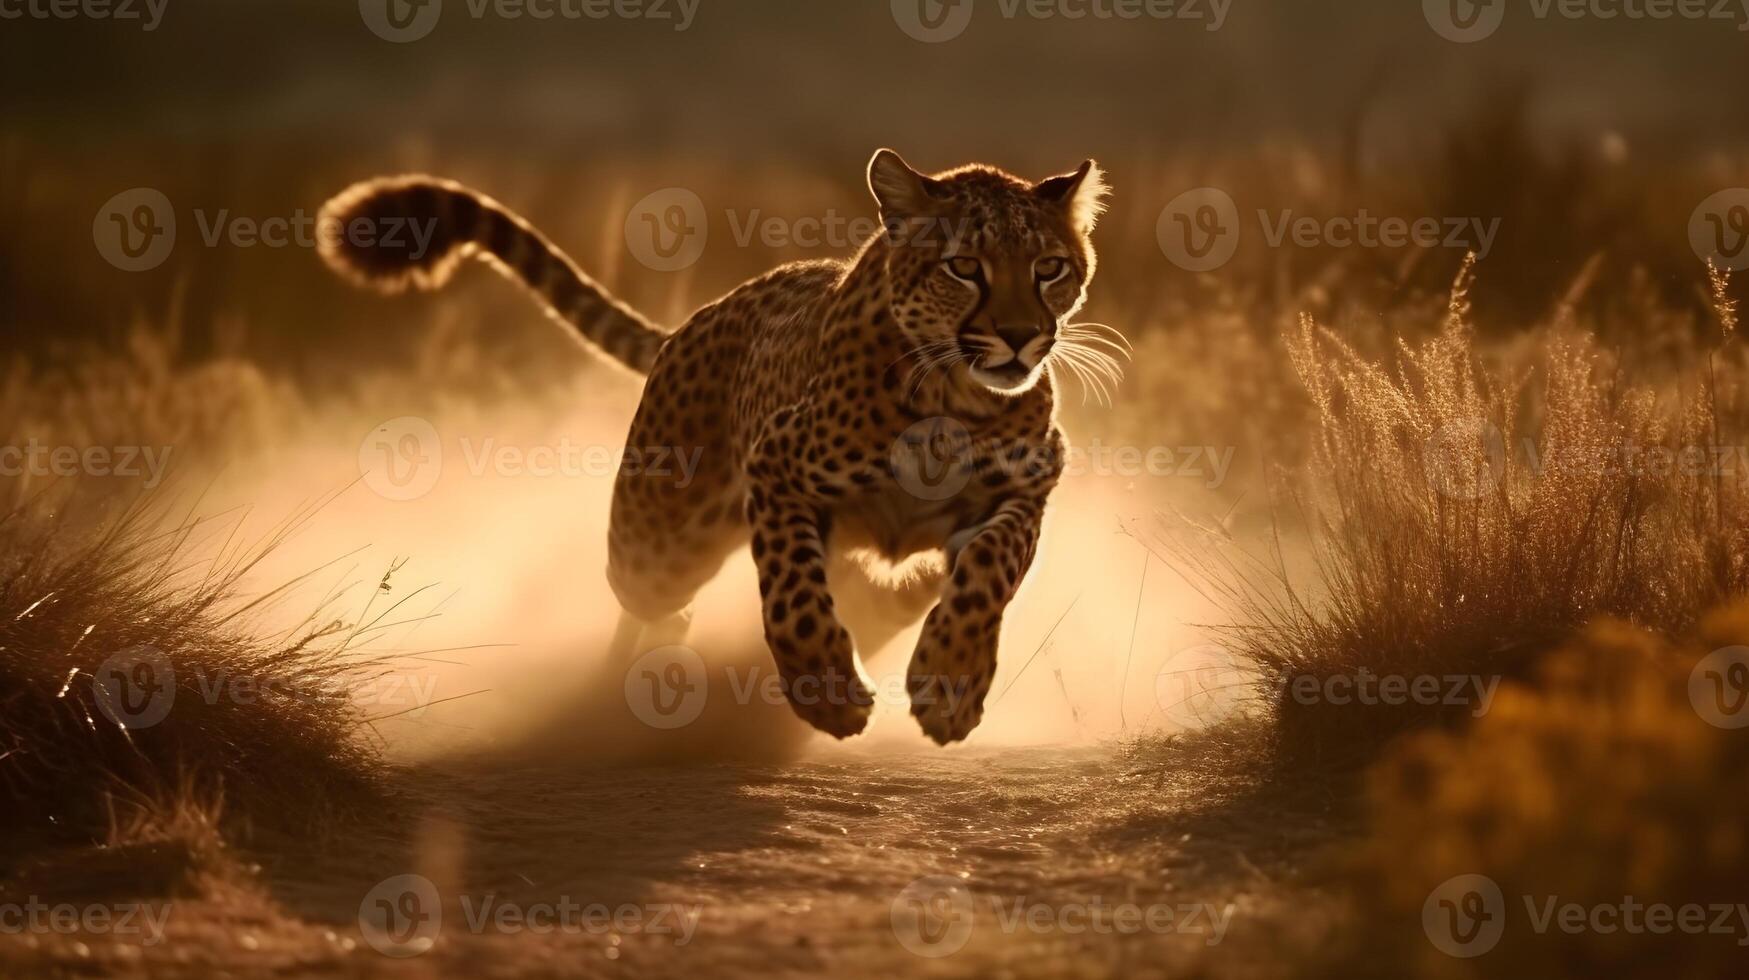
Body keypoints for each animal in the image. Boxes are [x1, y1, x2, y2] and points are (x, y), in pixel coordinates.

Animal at [316, 149, 1119, 738]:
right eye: (964, 267)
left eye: (1049, 268)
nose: (1020, 337)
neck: (950, 395)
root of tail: (694, 319)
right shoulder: (776, 468)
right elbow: (793, 594)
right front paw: (826, 691)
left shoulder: (1027, 485)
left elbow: (986, 571)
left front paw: (949, 683)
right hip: (654, 546)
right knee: (651, 604)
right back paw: (623, 684)